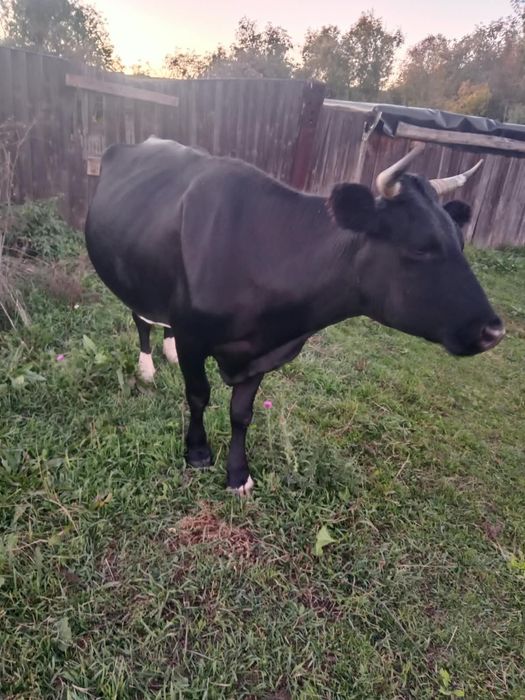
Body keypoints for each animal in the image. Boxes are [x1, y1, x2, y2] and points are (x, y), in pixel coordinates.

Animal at [85, 137, 504, 495]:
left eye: (461, 242)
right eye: (419, 247)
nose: (494, 331)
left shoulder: (261, 354)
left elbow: (241, 413)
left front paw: (238, 474)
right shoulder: (194, 336)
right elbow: (198, 395)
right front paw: (198, 452)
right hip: (132, 275)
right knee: (141, 319)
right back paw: (147, 368)